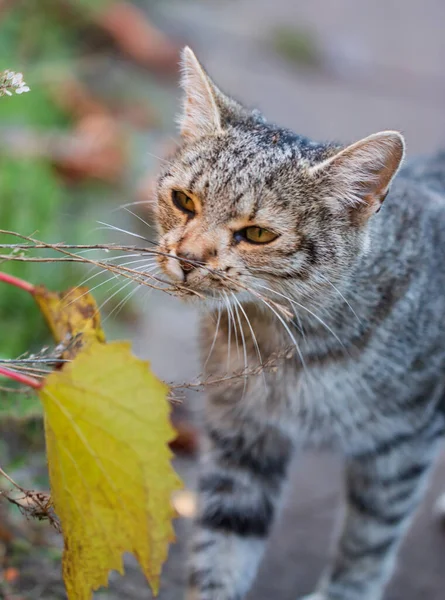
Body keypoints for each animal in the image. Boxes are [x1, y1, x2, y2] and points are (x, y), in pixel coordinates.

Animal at [154, 48, 444, 600]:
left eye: (257, 234)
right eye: (184, 202)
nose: (187, 258)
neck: (287, 345)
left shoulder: (401, 446)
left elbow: (368, 541)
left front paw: (345, 591)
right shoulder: (244, 435)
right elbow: (223, 544)